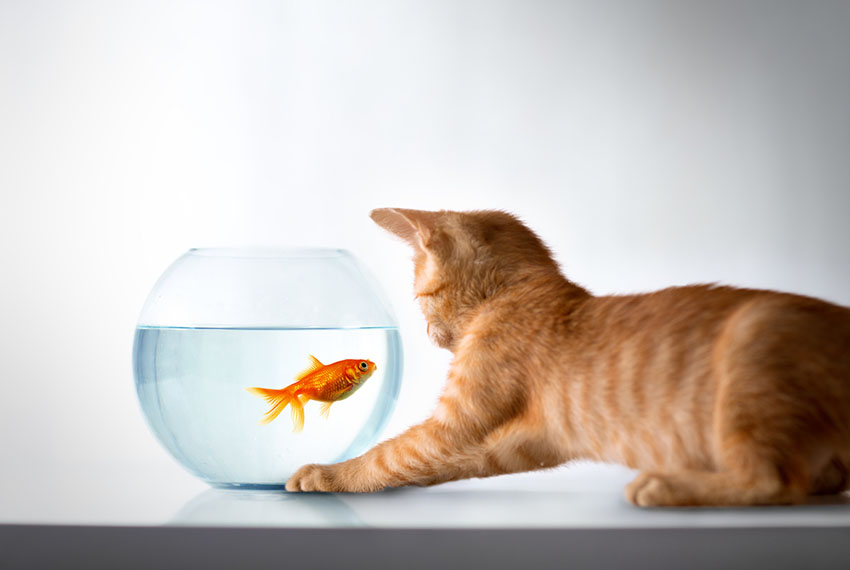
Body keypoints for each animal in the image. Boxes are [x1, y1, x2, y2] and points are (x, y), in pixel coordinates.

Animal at [284, 206, 848, 504]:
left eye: (420, 296)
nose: (426, 332)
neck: (517, 295)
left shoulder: (458, 420)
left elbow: (393, 451)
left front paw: (328, 474)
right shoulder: (521, 441)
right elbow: (418, 462)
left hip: (757, 339)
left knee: (774, 481)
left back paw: (664, 486)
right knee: (818, 482)